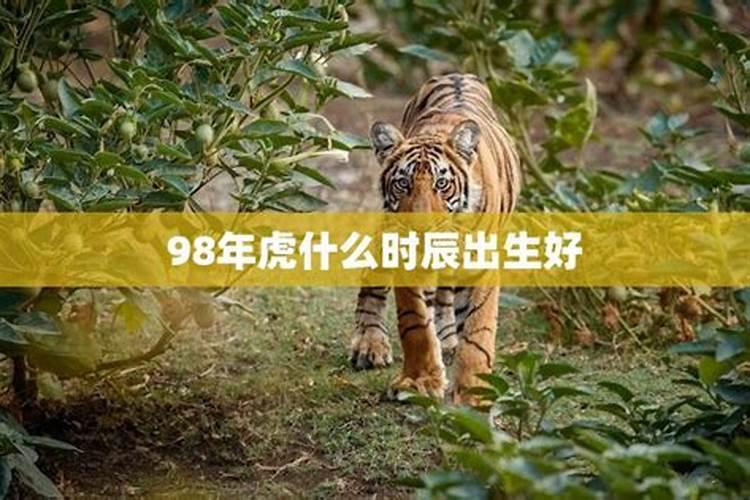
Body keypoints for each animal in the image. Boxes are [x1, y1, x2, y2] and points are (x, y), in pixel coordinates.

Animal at [349, 73, 522, 403]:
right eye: (403, 183)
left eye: (442, 184)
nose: (421, 228)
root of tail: (457, 74)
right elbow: (414, 322)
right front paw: (419, 380)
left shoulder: (481, 264)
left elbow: (477, 331)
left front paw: (473, 392)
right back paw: (368, 344)